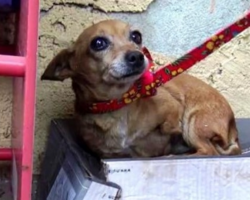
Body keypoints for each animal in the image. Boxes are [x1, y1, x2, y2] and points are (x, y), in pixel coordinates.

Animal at [41, 19, 242, 159]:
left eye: (136, 36)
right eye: (98, 43)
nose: (137, 56)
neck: (118, 104)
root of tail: (233, 127)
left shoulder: (173, 104)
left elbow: (170, 124)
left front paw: (171, 133)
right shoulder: (112, 154)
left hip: (194, 122)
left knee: (208, 150)